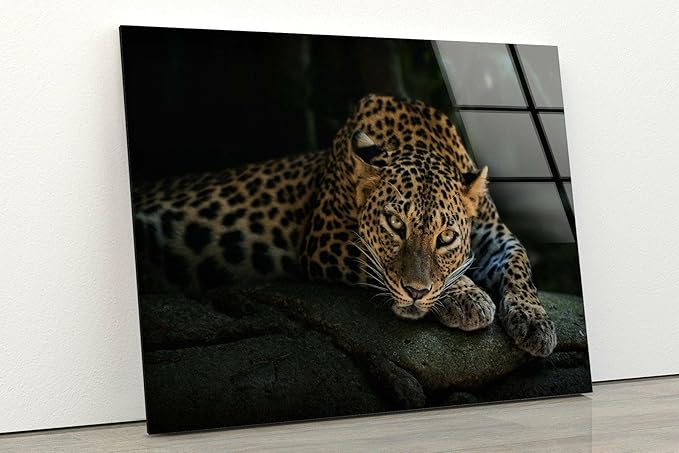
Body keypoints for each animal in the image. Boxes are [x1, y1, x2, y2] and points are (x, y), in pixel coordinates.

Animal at [132, 94, 557, 357]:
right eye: (394, 224)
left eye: (447, 237)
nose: (416, 293)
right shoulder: (324, 239)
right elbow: (378, 264)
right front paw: (467, 297)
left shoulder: (494, 233)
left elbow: (520, 264)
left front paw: (535, 322)